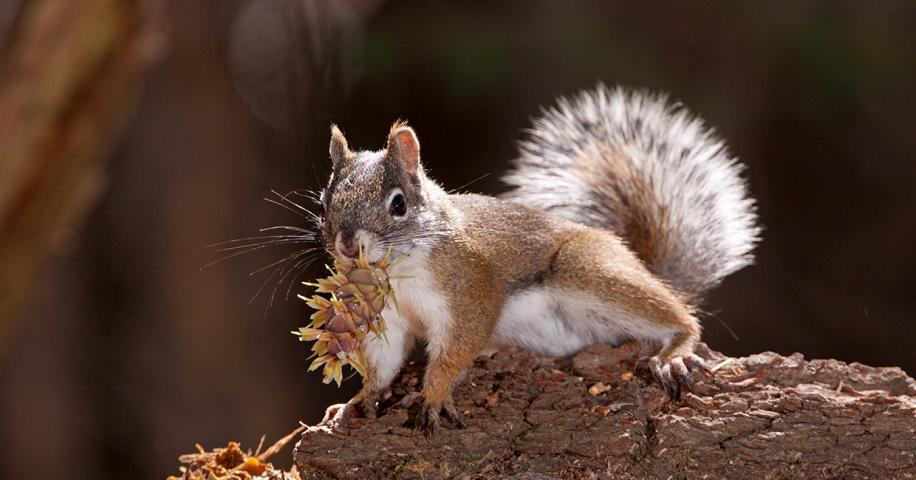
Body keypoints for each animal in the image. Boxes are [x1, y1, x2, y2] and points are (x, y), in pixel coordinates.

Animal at [318, 85, 760, 435]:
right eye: (324, 201)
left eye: (398, 205)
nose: (347, 245)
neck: (399, 272)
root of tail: (636, 260)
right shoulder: (387, 317)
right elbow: (384, 361)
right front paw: (360, 399)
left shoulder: (470, 292)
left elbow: (455, 351)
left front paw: (434, 395)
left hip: (586, 269)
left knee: (681, 317)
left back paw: (675, 353)